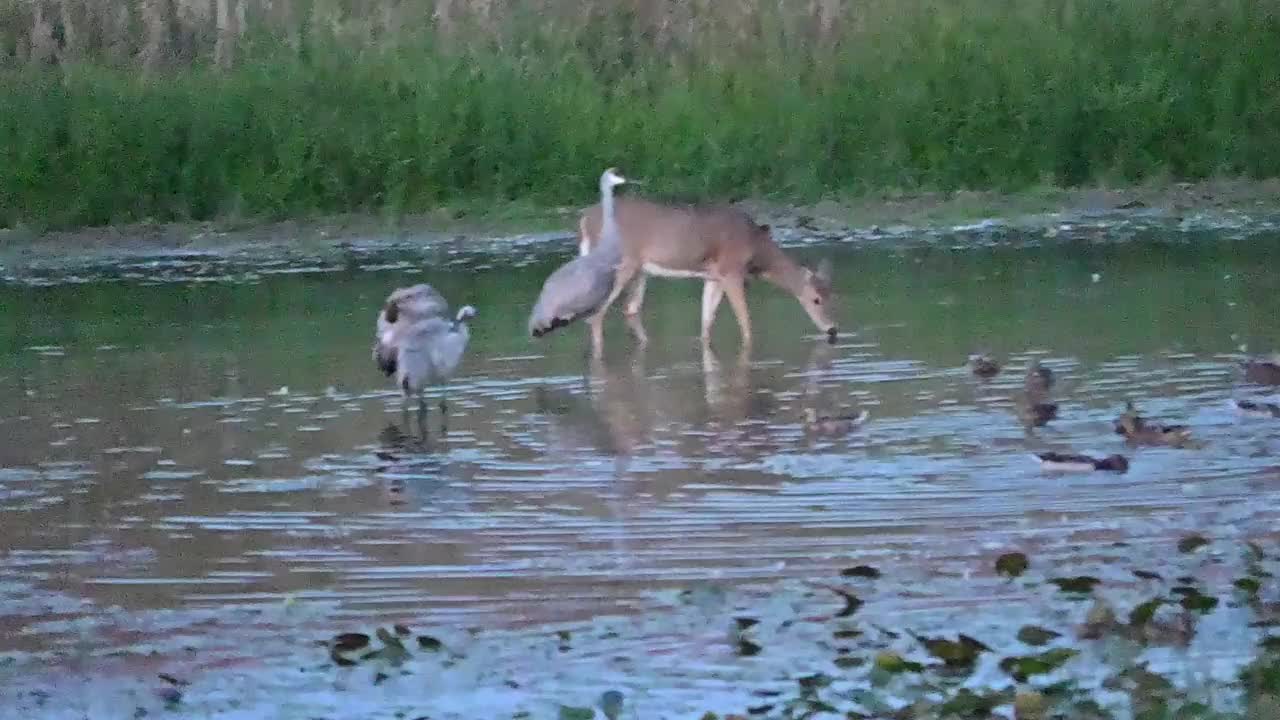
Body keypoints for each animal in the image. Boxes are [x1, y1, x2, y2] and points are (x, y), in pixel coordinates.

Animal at [578, 196, 839, 348]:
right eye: (816, 299)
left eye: (833, 297)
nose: (833, 330)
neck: (757, 249)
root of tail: (584, 220)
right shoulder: (731, 271)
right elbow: (745, 322)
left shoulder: (714, 276)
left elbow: (707, 321)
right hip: (621, 265)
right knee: (597, 313)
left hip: (639, 271)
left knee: (629, 309)